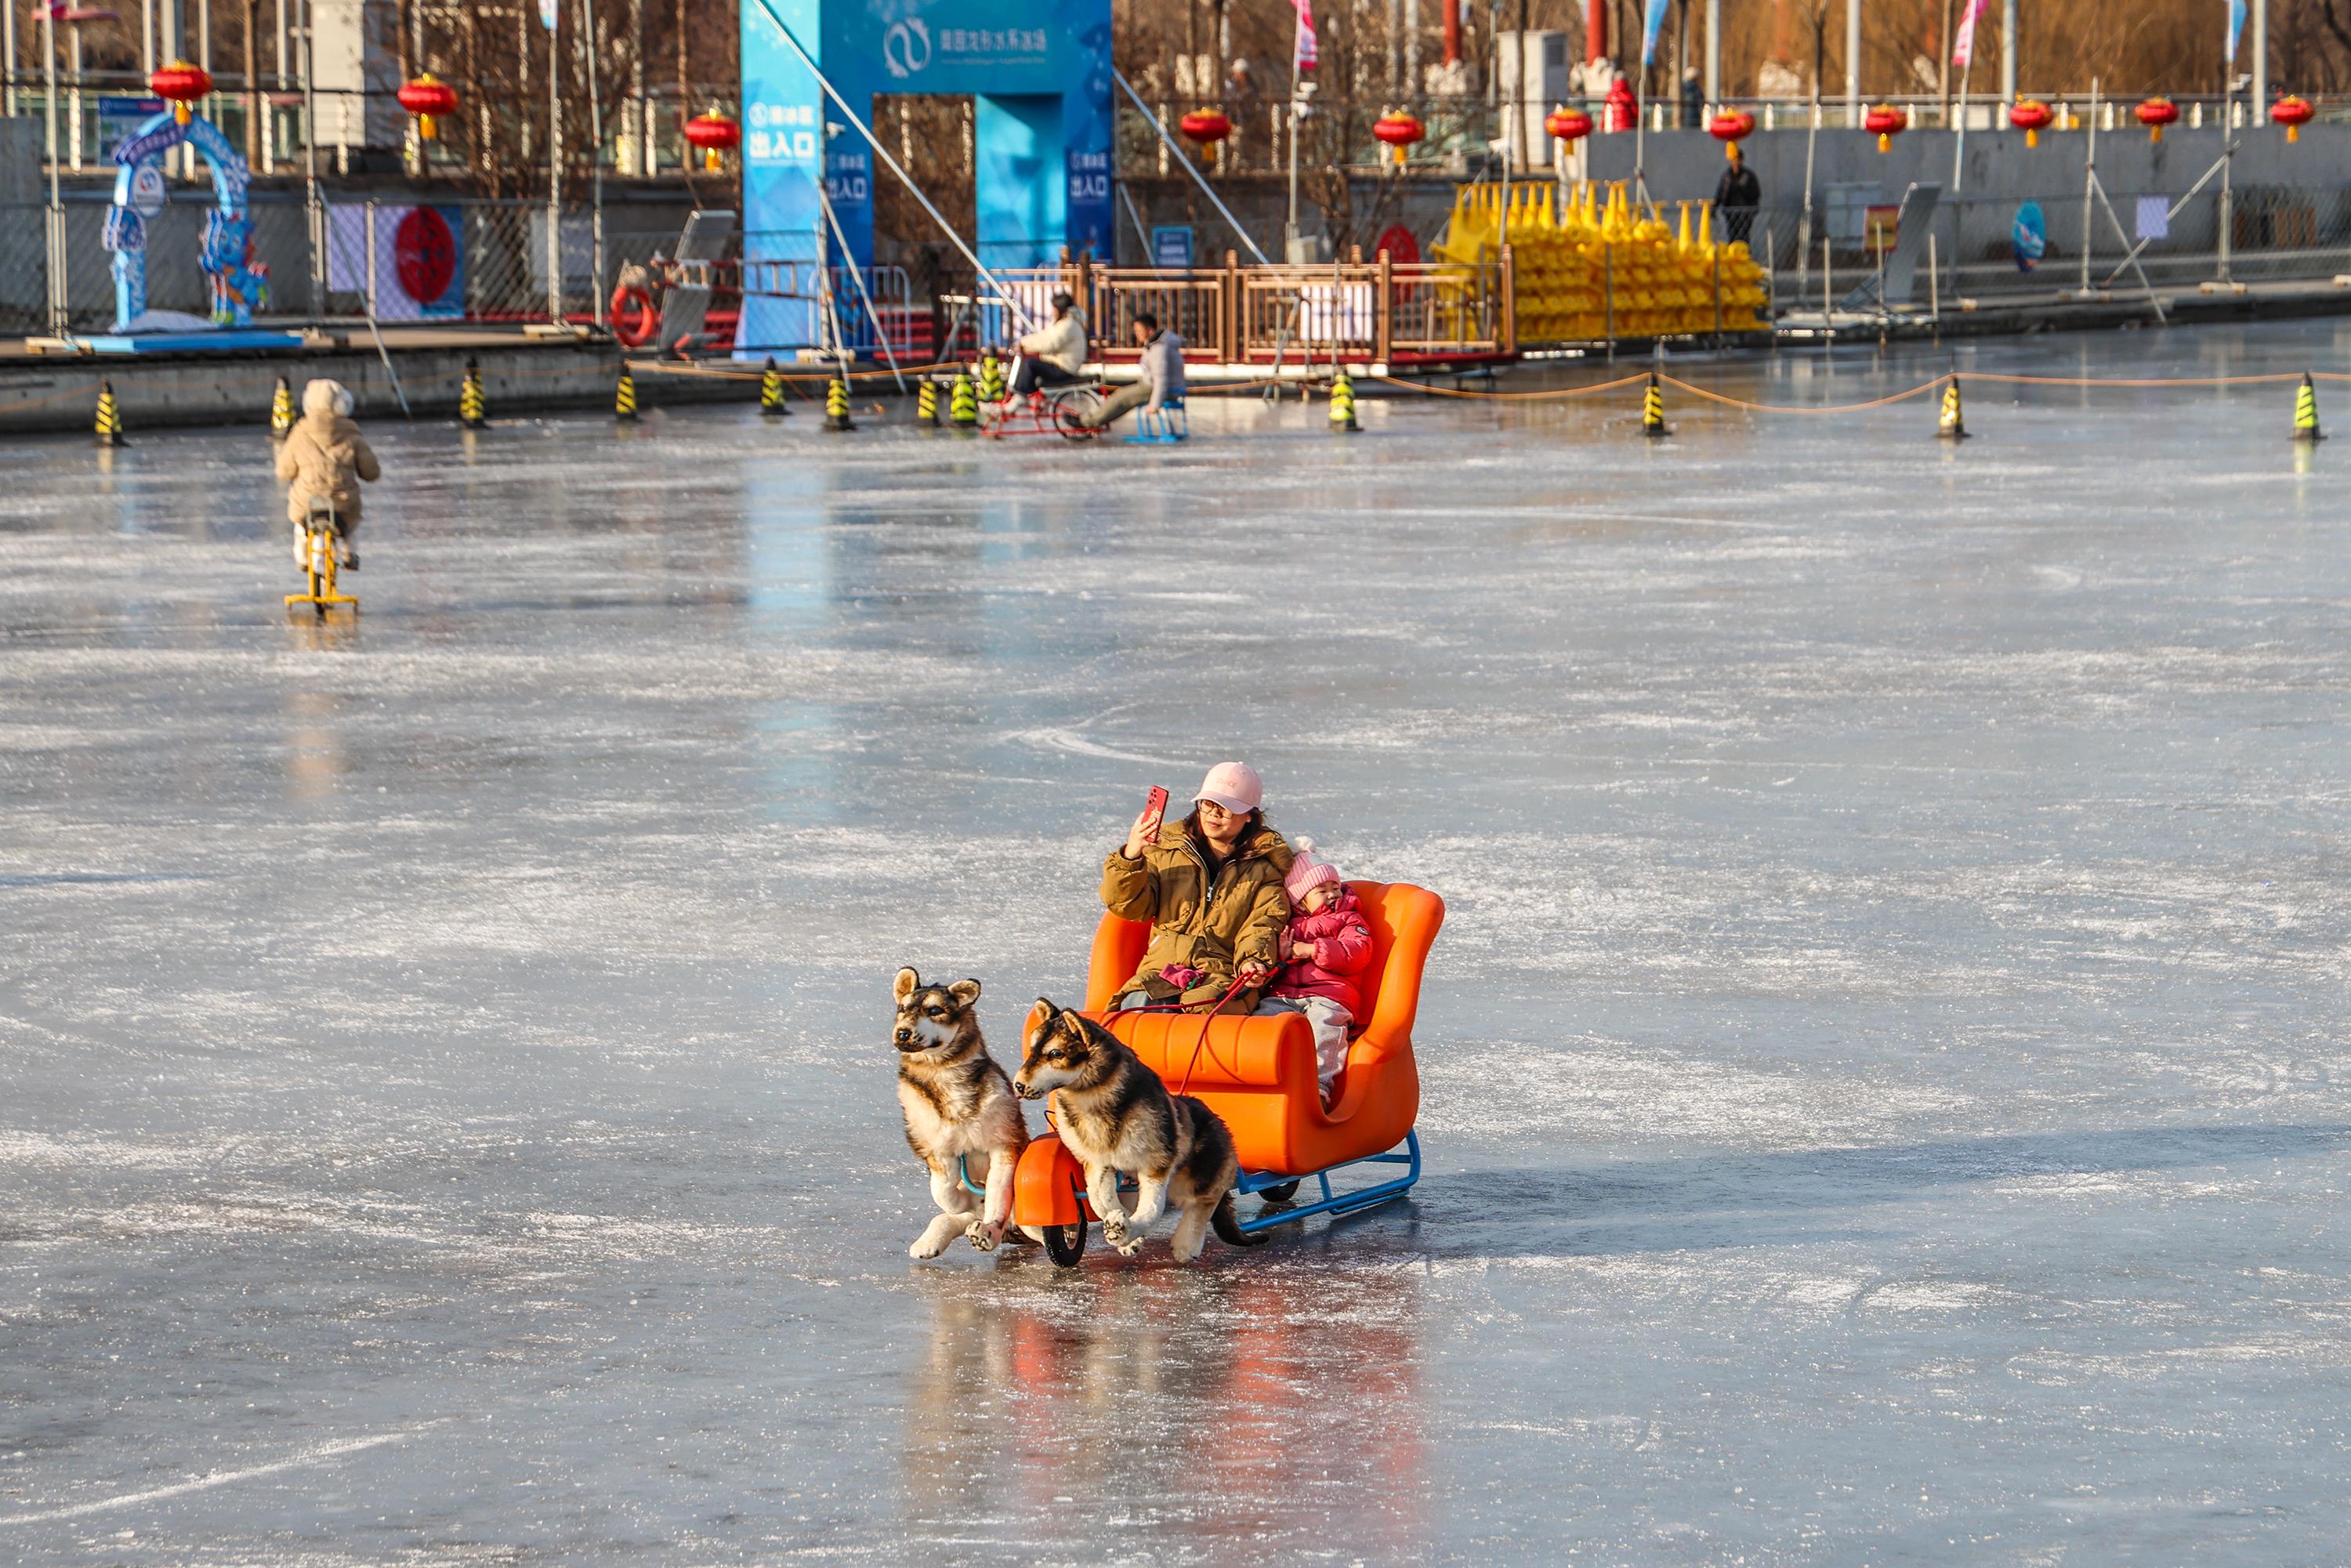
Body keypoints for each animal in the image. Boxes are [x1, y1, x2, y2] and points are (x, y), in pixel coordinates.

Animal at [894, 968, 1032, 1259]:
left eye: (935, 1010)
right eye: (903, 1009)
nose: (902, 1033)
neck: (943, 1073)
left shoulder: (1005, 1141)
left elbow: (998, 1194)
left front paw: (989, 1230)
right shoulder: (936, 1147)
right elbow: (943, 1192)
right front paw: (965, 1199)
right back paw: (930, 1241)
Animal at [1012, 999, 1263, 1262]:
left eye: (1056, 1054)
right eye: (1032, 1049)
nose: (1018, 1085)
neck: (1095, 1101)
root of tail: (1217, 1120)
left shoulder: (1156, 1163)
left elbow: (1151, 1208)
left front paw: (1126, 1230)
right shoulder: (1098, 1163)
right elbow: (1100, 1199)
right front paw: (1124, 1230)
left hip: (1199, 1173)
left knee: (1203, 1202)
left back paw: (1187, 1244)